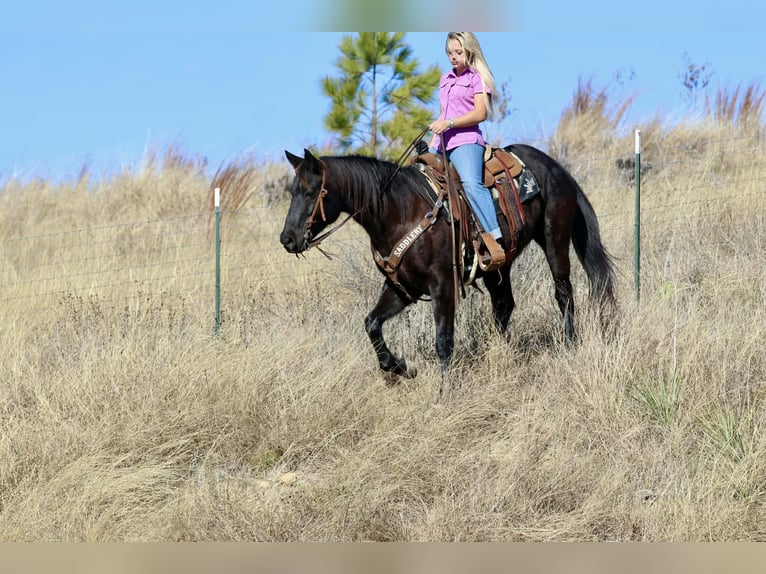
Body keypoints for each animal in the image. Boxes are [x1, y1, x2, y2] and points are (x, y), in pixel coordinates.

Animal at [279, 144, 616, 394]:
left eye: (312, 191)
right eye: (292, 192)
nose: (288, 239)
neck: (399, 211)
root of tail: (555, 166)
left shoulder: (442, 284)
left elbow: (443, 341)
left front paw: (445, 391)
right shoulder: (402, 288)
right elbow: (372, 323)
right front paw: (399, 367)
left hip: (554, 239)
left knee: (563, 293)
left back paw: (569, 344)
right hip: (499, 265)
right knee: (504, 305)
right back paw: (499, 354)